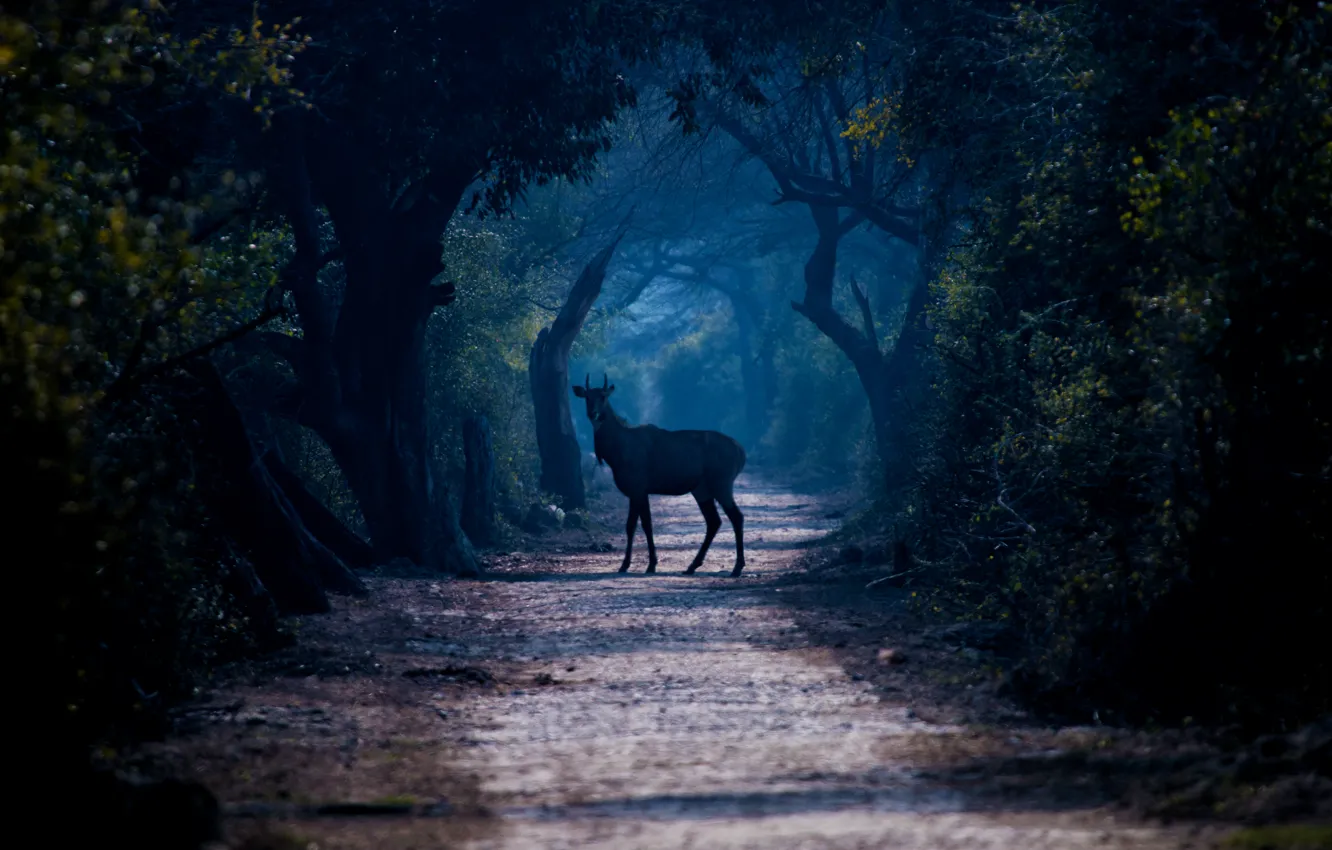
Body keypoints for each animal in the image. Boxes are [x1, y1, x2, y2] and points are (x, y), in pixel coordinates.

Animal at [572, 373, 748, 577]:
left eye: (603, 396)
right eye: (587, 397)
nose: (593, 413)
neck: (617, 449)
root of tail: (740, 451)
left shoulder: (637, 488)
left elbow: (638, 525)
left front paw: (637, 565)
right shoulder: (639, 492)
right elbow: (640, 525)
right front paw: (642, 564)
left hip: (721, 484)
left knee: (736, 517)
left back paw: (737, 567)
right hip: (701, 489)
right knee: (714, 521)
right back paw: (692, 566)